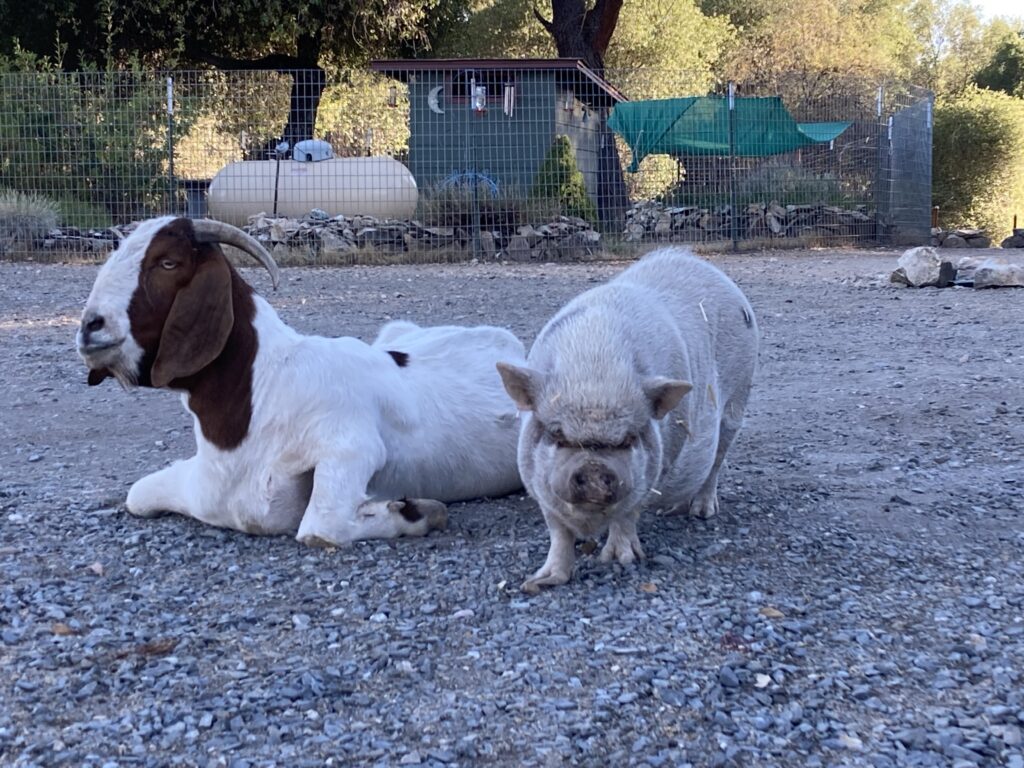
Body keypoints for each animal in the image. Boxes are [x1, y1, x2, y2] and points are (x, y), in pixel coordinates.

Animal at [76, 216, 525, 545]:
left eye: (168, 263)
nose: (89, 326)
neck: (263, 390)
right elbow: (136, 496)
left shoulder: (351, 445)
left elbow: (320, 528)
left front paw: (415, 511)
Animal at [497, 248, 758, 592]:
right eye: (557, 434)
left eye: (628, 439)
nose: (594, 469)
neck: (594, 373)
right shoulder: (536, 481)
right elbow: (558, 531)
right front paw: (538, 582)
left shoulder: (656, 465)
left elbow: (627, 513)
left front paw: (620, 560)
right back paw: (669, 511)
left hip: (737, 402)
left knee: (716, 462)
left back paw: (701, 513)